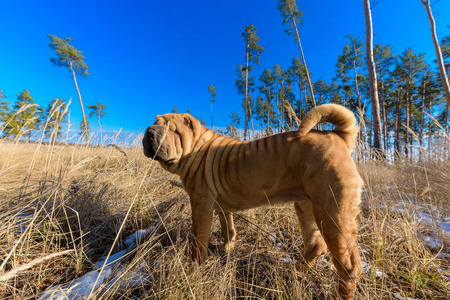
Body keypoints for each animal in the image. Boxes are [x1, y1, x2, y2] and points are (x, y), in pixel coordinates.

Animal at [142, 103, 364, 300]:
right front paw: (227, 250)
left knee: (349, 265)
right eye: (154, 123)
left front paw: (195, 266)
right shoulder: (221, 206)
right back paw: (293, 272)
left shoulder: (200, 202)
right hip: (306, 205)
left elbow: (200, 238)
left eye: (172, 129)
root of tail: (338, 136)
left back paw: (336, 295)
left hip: (332, 210)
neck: (197, 147)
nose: (149, 131)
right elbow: (228, 229)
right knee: (316, 245)